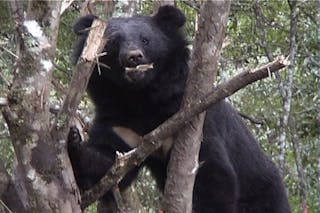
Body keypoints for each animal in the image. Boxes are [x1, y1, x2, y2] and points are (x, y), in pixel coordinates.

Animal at [68, 5, 292, 213]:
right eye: (114, 43)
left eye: (146, 40)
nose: (134, 57)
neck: (139, 96)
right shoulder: (120, 124)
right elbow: (106, 164)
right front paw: (73, 140)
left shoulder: (192, 118)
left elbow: (213, 173)